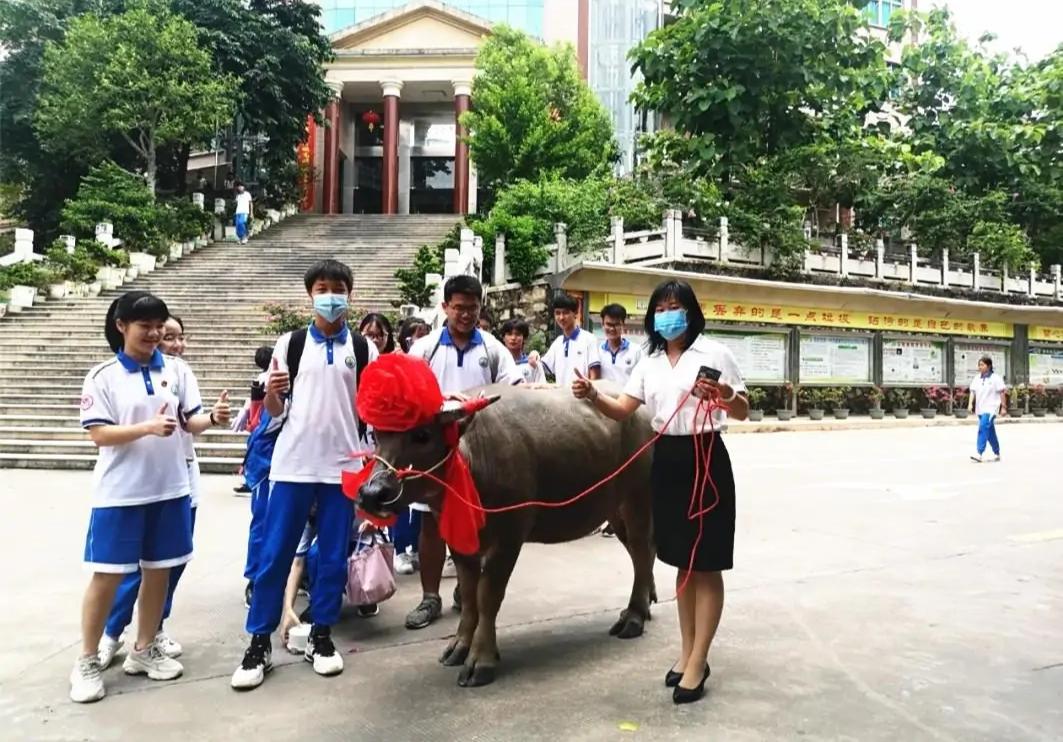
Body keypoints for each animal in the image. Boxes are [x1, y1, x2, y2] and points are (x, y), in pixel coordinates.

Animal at [357, 380, 654, 688]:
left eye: (422, 435)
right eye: (377, 434)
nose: (372, 494)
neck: (472, 461)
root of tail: (639, 407)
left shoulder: (509, 537)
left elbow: (487, 595)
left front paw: (481, 660)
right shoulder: (460, 542)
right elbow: (469, 596)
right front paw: (459, 646)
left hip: (638, 494)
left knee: (642, 548)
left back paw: (633, 617)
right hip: (613, 505)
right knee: (639, 551)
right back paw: (645, 604)